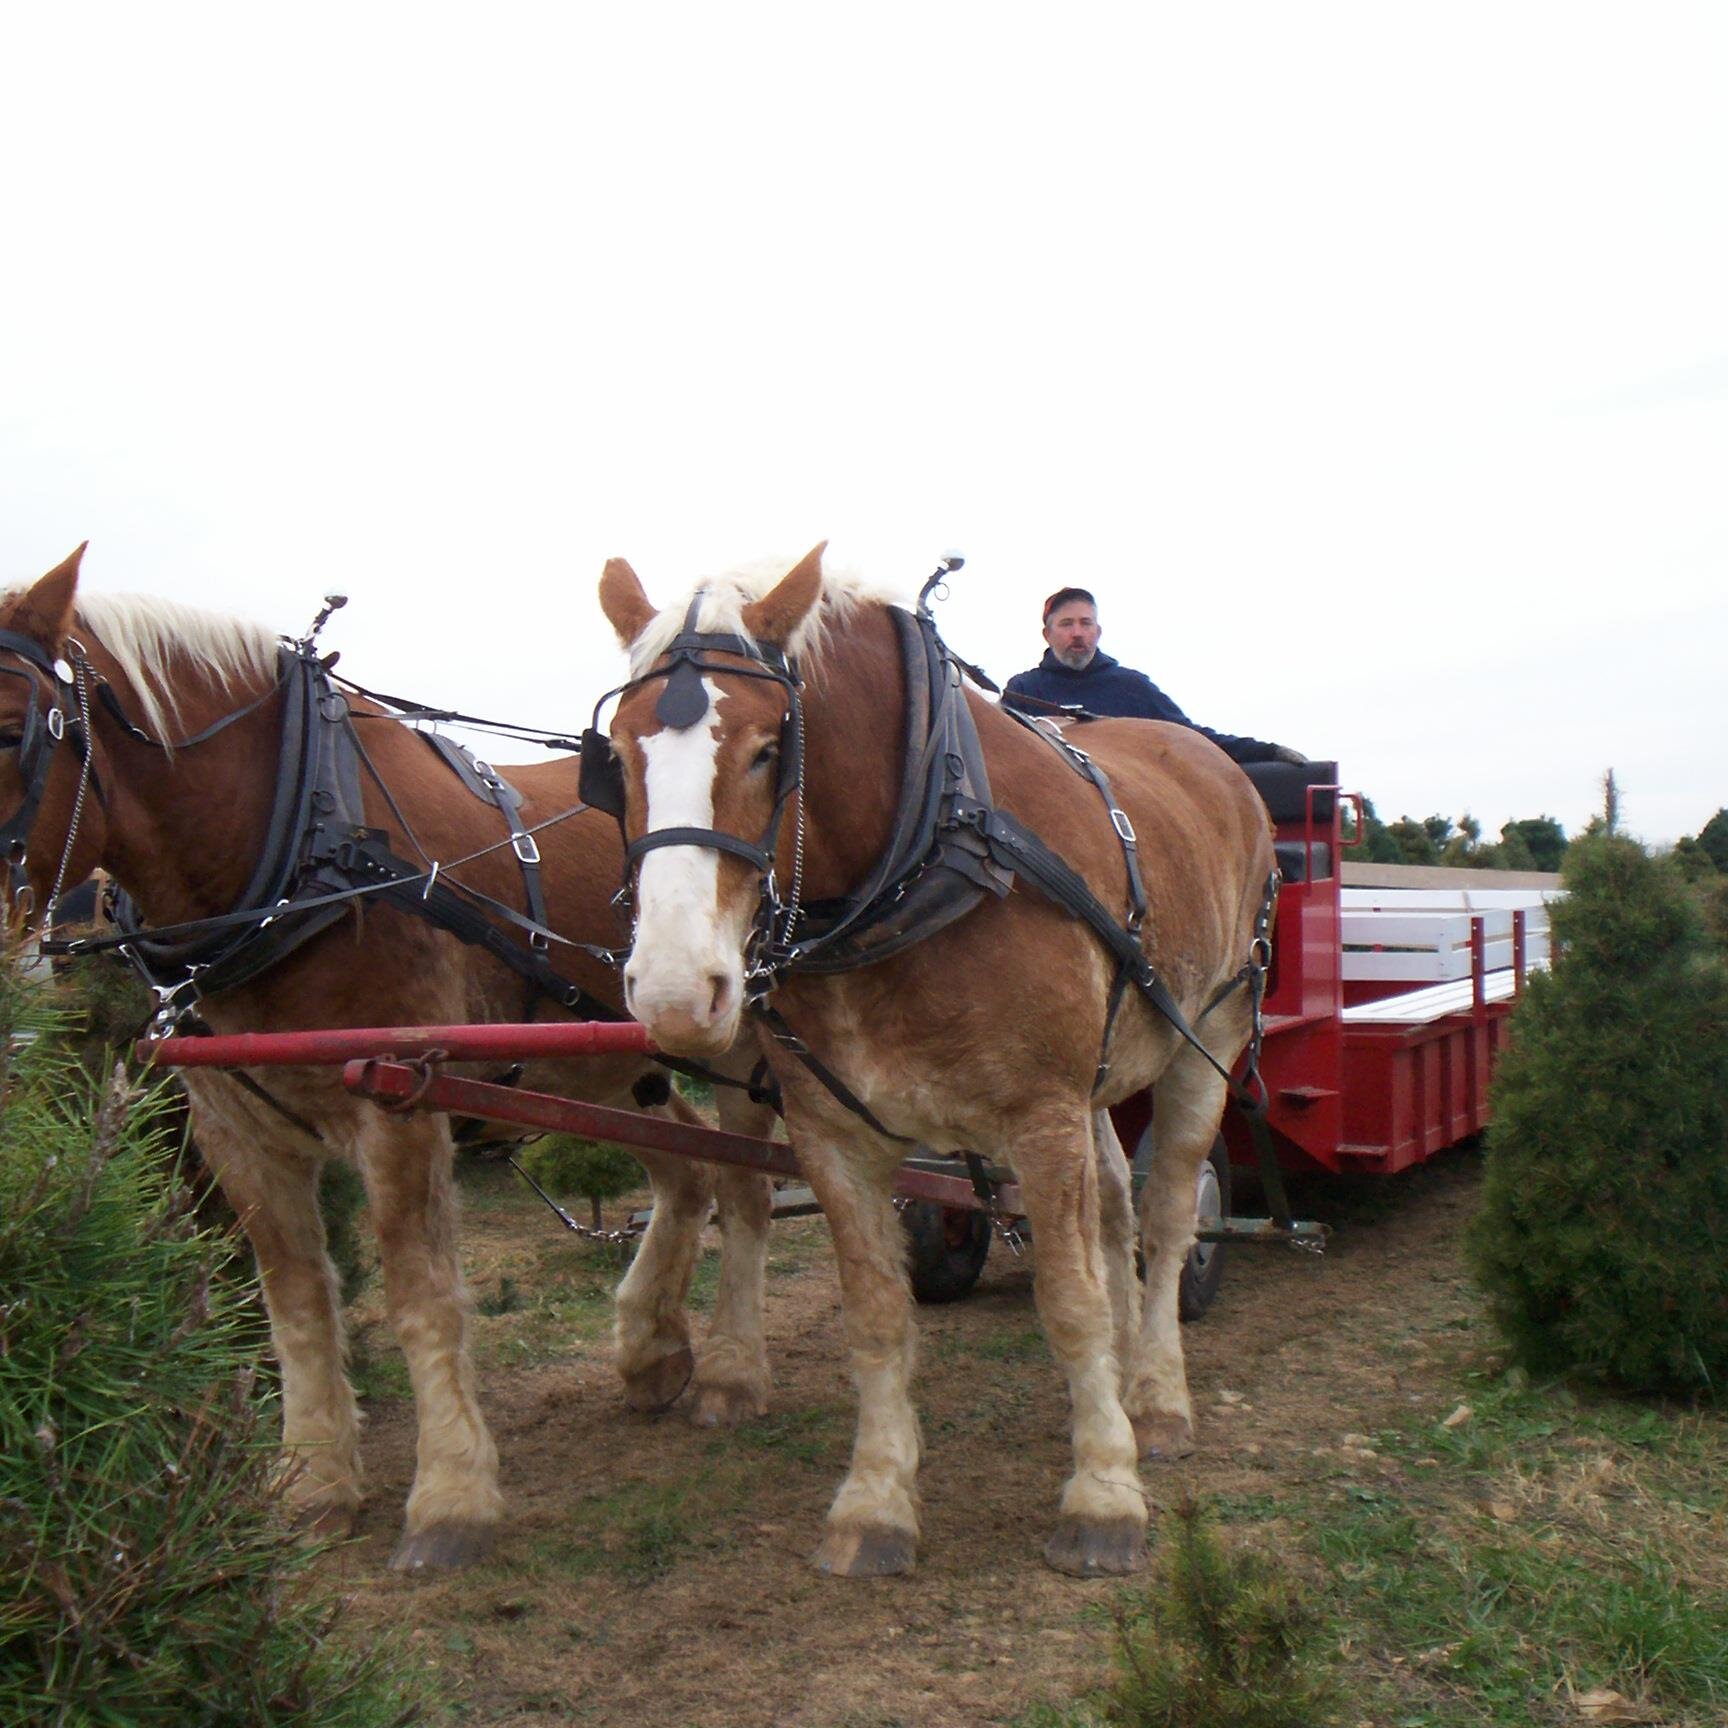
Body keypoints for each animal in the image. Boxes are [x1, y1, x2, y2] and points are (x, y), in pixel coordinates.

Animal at [0, 546, 777, 1575]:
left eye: (13, 730)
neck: (296, 845)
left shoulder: (397, 1101)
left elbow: (420, 1295)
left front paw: (449, 1496)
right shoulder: (237, 1131)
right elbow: (295, 1302)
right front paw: (312, 1481)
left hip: (745, 1039)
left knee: (749, 1186)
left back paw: (732, 1367)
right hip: (605, 1063)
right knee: (688, 1172)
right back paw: (651, 1347)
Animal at [601, 546, 1278, 1575]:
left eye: (766, 748)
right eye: (614, 755)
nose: (676, 990)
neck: (923, 851)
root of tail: (1212, 758)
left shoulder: (1040, 1118)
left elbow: (1068, 1298)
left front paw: (1104, 1493)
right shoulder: (833, 1134)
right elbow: (879, 1315)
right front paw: (876, 1501)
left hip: (1213, 1033)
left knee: (1164, 1221)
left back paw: (1156, 1400)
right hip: (1100, 1074)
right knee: (1116, 1209)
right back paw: (1123, 1384)